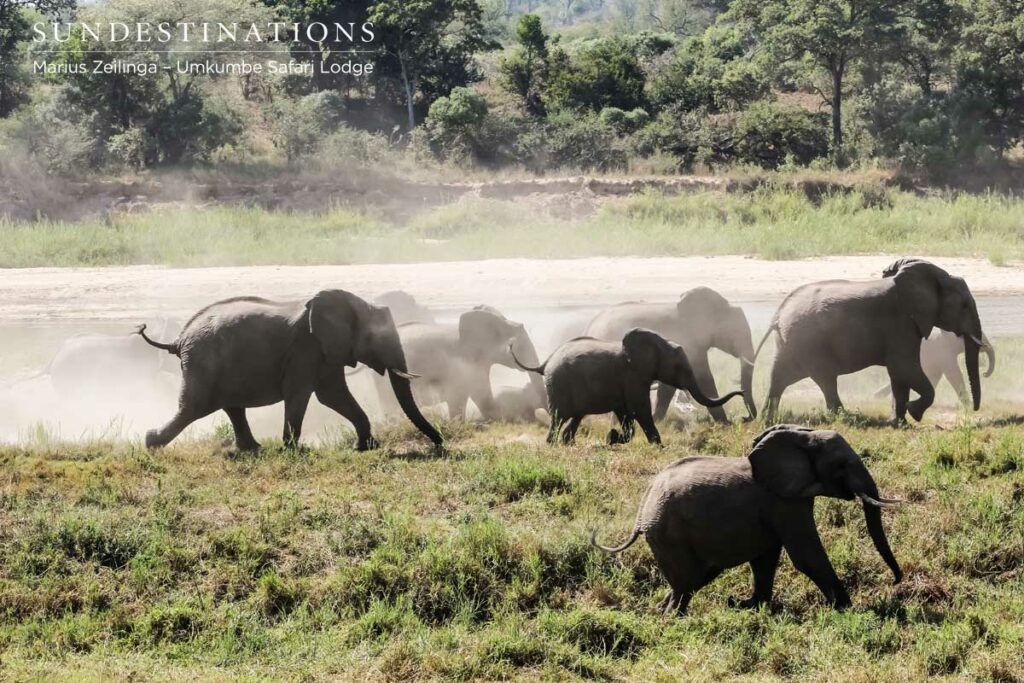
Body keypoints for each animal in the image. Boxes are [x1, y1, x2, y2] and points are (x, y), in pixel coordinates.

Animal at [137, 290, 443, 451]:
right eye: (377, 338)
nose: (439, 443)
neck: (356, 302)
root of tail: (178, 339)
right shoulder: (305, 349)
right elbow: (300, 394)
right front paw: (296, 450)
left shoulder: (325, 352)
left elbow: (333, 395)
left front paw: (367, 447)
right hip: (203, 362)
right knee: (193, 407)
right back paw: (151, 443)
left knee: (231, 407)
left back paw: (254, 449)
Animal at [512, 328, 746, 445]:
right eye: (679, 367)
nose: (742, 392)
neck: (658, 342)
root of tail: (545, 363)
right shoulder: (633, 376)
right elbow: (638, 410)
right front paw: (658, 447)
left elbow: (625, 412)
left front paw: (614, 439)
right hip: (558, 385)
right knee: (558, 417)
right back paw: (553, 444)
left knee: (575, 417)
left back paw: (568, 443)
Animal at [585, 287, 757, 423]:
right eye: (736, 332)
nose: (744, 418)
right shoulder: (690, 341)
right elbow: (704, 379)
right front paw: (725, 424)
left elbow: (669, 387)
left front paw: (656, 420)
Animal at [592, 424, 903, 615]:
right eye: (841, 465)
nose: (896, 582)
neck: (802, 435)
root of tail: (643, 504)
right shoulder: (783, 501)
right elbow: (806, 556)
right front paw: (848, 609)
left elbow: (766, 558)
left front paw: (750, 606)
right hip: (667, 532)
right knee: (687, 579)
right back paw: (673, 616)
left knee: (696, 577)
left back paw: (662, 610)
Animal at [757, 258, 987, 422]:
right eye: (965, 305)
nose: (975, 410)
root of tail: (779, 314)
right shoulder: (901, 323)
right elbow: (904, 368)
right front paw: (914, 413)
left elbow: (899, 374)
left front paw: (900, 423)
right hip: (809, 341)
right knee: (825, 378)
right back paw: (847, 418)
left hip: (791, 342)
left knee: (779, 377)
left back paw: (767, 419)